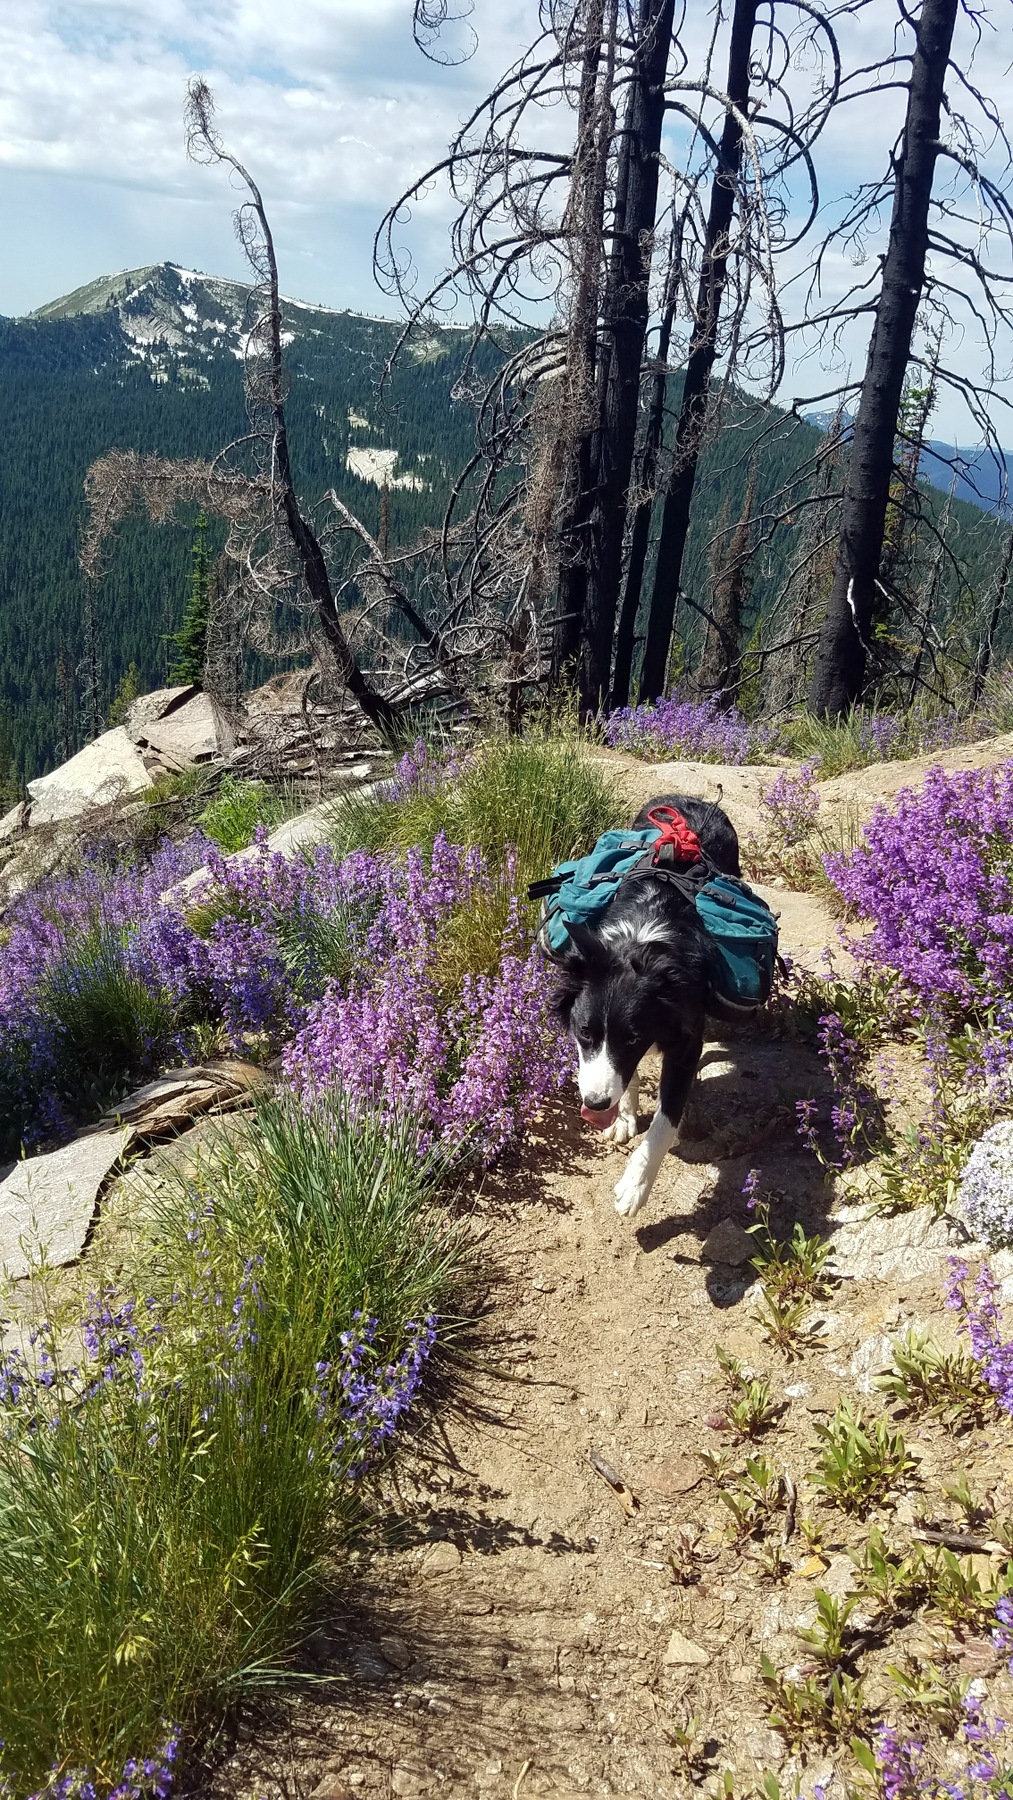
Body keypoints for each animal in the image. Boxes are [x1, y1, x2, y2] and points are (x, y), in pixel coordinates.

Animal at [550, 802, 741, 1224]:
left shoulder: (686, 1040)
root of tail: (690, 800)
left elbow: (665, 1123)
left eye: (634, 1038)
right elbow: (629, 1075)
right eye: (583, 1032)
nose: (595, 1105)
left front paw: (635, 1186)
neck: (640, 944)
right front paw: (623, 1115)